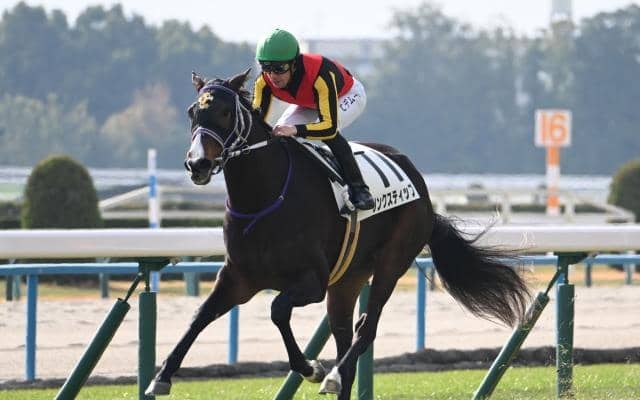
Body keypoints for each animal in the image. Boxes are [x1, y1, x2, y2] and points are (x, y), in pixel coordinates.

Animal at [145, 69, 531, 399]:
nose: (197, 164)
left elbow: (277, 309)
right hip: (347, 279)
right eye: (193, 112)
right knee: (347, 337)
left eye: (225, 113)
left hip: (391, 262)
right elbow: (200, 316)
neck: (264, 198)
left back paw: (330, 375)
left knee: (365, 330)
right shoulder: (238, 278)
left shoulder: (312, 281)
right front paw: (161, 376)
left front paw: (311, 368)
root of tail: (422, 191)